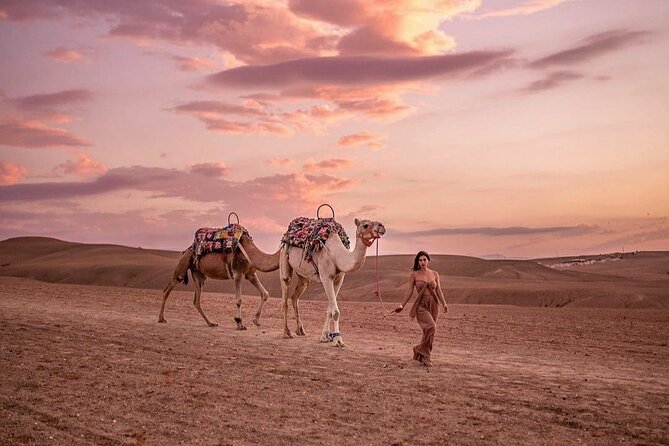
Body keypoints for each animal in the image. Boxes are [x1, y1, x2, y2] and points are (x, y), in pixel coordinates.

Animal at [280, 217, 386, 347]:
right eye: (365, 225)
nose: (381, 226)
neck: (337, 254)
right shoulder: (326, 278)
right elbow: (335, 311)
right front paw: (338, 340)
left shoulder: (339, 280)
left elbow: (330, 309)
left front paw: (325, 336)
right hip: (284, 257)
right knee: (285, 294)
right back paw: (286, 333)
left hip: (304, 277)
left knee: (295, 296)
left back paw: (300, 330)